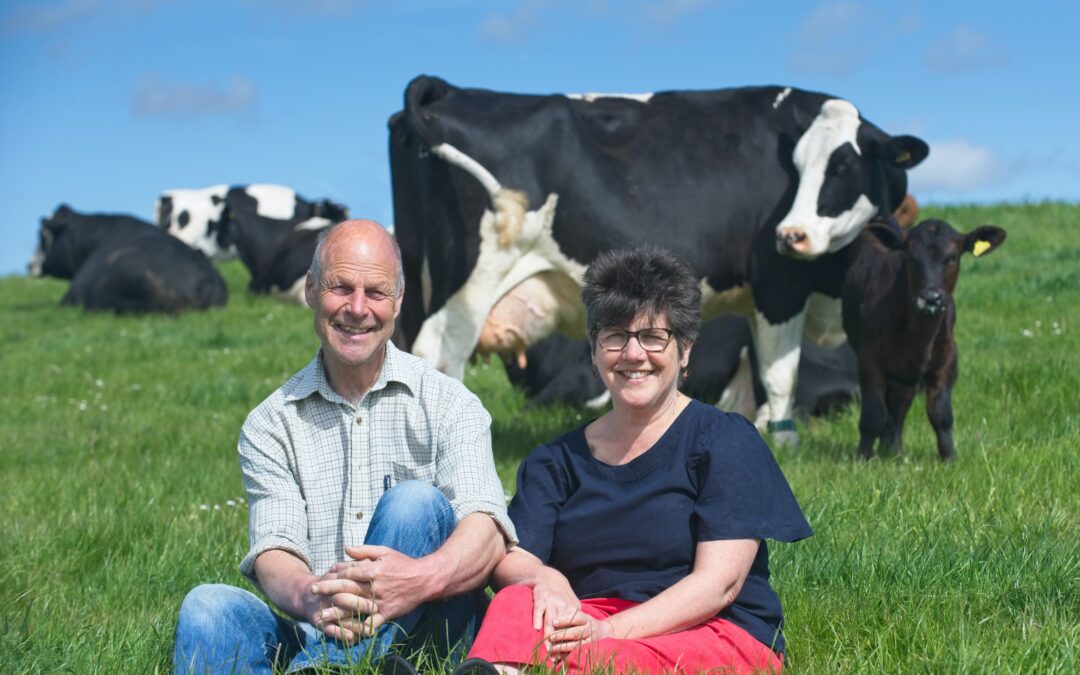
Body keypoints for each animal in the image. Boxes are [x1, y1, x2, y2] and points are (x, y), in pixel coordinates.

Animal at [388, 75, 928, 442]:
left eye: (845, 164)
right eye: (798, 166)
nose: (791, 235)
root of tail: (447, 90)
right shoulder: (780, 284)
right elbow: (780, 371)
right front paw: (785, 441)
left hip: (414, 277)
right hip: (469, 283)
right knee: (441, 354)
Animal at [838, 218, 1006, 460]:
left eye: (952, 257)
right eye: (910, 257)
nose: (931, 298)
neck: (917, 337)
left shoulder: (947, 357)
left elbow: (940, 413)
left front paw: (949, 457)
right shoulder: (869, 358)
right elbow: (873, 414)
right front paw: (863, 457)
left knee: (899, 405)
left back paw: (893, 448)